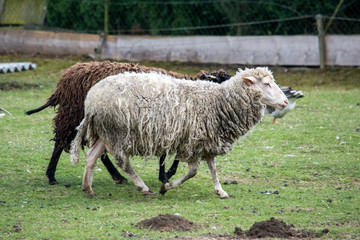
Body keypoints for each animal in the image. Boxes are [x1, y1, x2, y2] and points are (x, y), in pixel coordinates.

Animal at [71, 67, 288, 199]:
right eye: (266, 84)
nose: (286, 102)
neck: (218, 101)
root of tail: (91, 99)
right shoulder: (192, 142)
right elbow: (193, 171)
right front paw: (166, 186)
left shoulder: (207, 141)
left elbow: (212, 168)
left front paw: (220, 191)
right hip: (118, 133)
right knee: (122, 162)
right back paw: (143, 187)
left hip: (104, 132)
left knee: (91, 156)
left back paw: (87, 188)